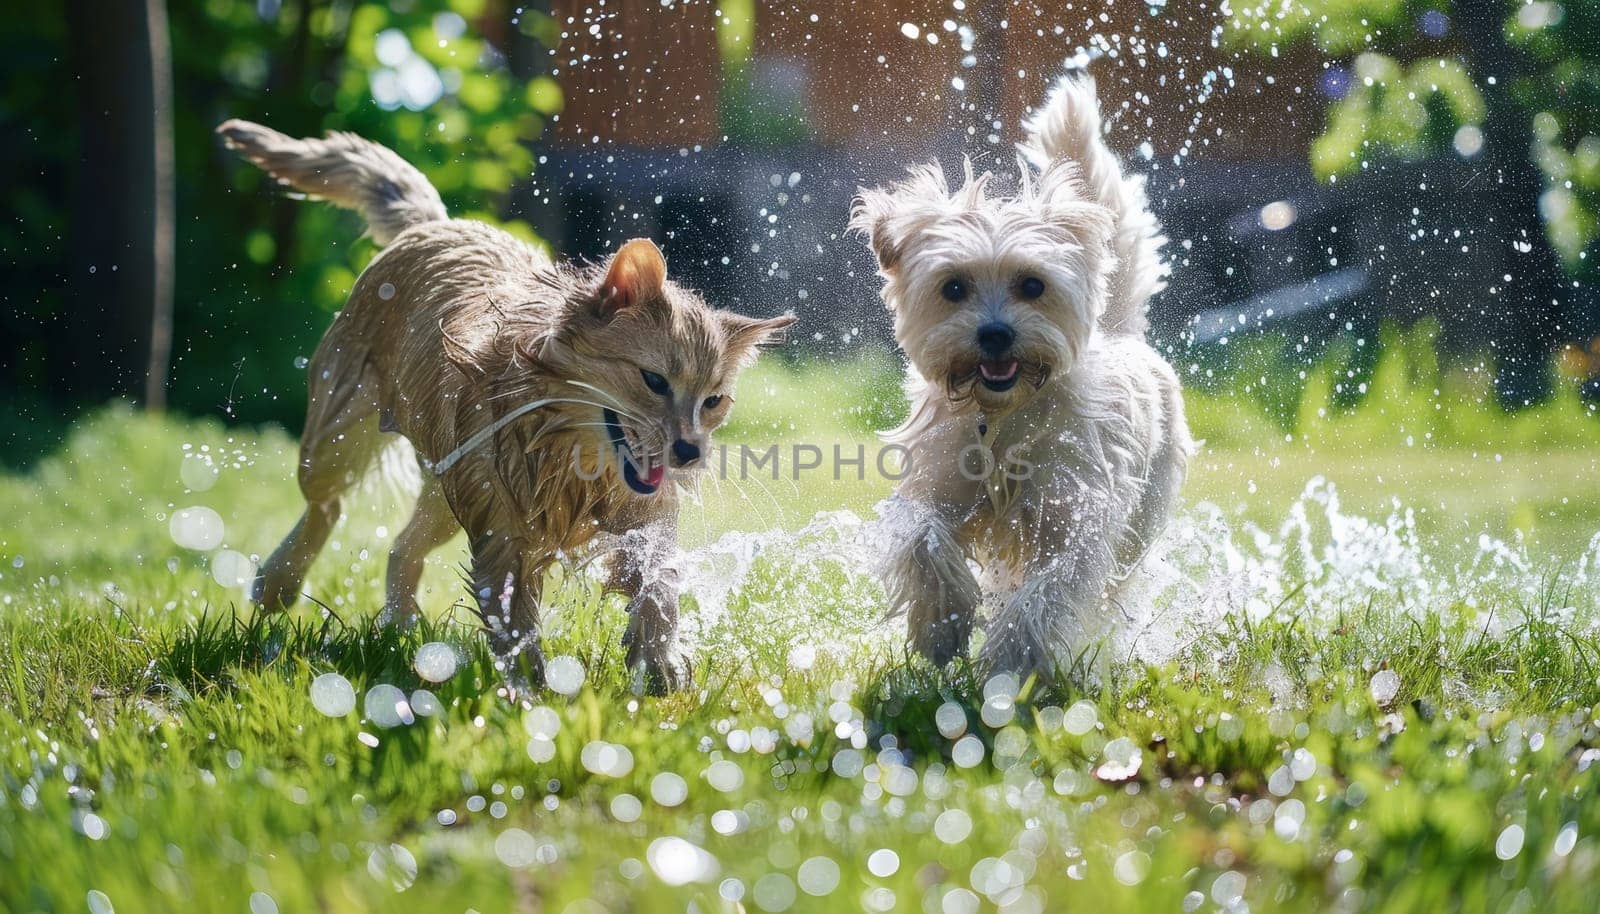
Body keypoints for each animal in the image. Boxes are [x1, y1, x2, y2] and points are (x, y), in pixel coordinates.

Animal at [222, 121, 796, 694]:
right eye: (654, 381)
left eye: (713, 401)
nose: (688, 453)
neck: (573, 455)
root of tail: (439, 224)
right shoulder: (504, 526)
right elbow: (513, 612)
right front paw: (527, 690)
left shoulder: (641, 514)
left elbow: (658, 577)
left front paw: (660, 659)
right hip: (338, 438)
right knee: (327, 505)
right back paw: (279, 582)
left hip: (444, 490)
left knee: (402, 546)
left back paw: (402, 628)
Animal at [851, 73, 1190, 678]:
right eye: (953, 287)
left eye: (1032, 284)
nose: (995, 334)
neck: (1001, 418)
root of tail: (1123, 334)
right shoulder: (937, 483)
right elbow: (922, 537)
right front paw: (943, 623)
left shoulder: (1077, 517)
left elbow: (1050, 590)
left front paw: (1014, 659)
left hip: (1141, 519)